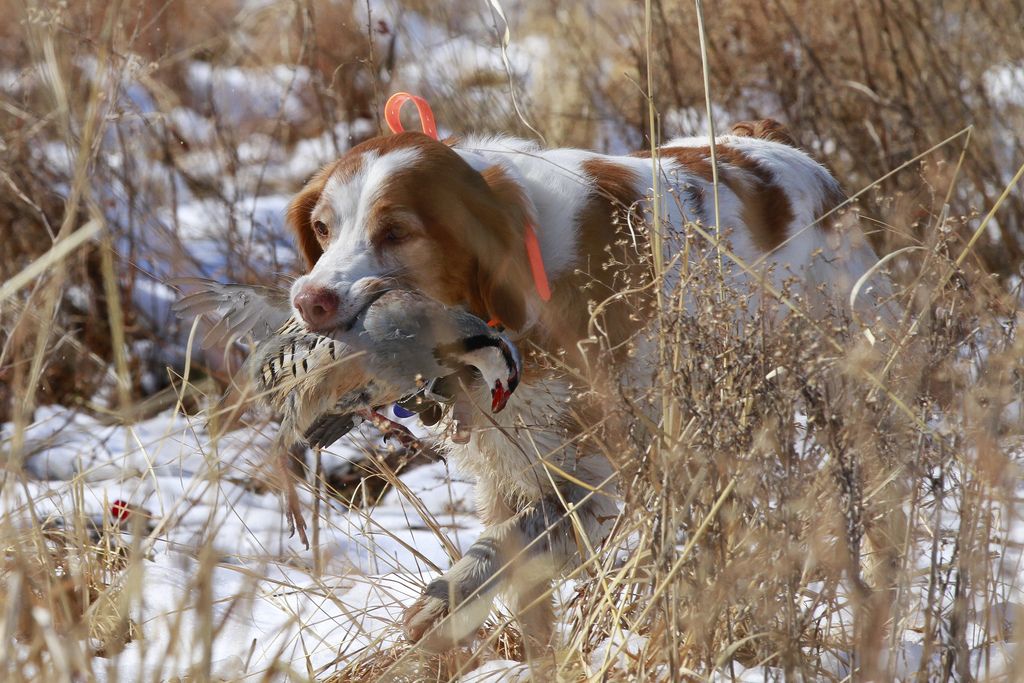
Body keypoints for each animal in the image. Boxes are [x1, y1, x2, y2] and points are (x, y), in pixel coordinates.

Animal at [284, 120, 884, 655]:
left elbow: (502, 548)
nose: (309, 301)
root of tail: (780, 145)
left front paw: (444, 603)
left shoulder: (588, 488)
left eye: (397, 232)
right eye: (322, 229)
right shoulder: (506, 477)